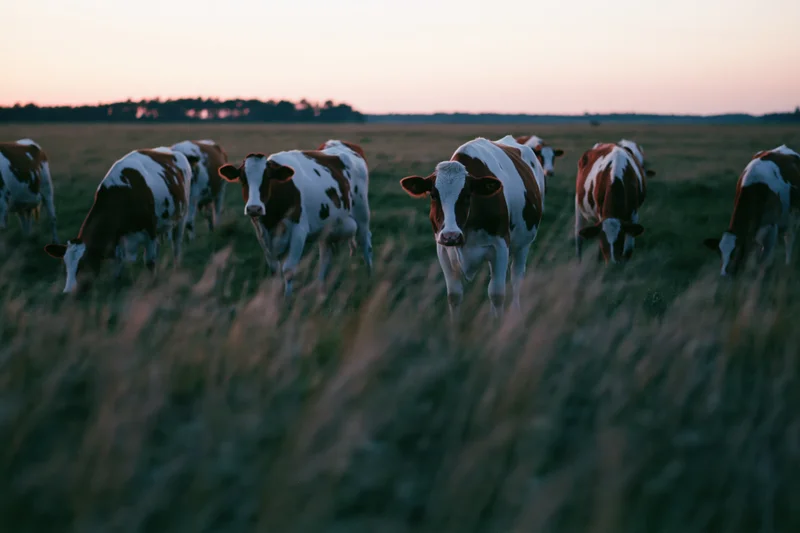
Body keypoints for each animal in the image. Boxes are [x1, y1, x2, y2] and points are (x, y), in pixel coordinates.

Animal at [43, 147, 193, 293]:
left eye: (84, 264)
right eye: (65, 267)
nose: (68, 292)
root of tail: (172, 151)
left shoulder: (149, 231)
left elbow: (150, 262)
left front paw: (153, 285)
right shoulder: (116, 239)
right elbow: (117, 269)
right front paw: (115, 288)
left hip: (182, 216)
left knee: (176, 244)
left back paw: (176, 267)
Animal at [217, 139, 372, 298]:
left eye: (268, 178)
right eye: (242, 179)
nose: (254, 208)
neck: (271, 219)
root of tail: (340, 143)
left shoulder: (299, 231)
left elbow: (288, 270)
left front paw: (287, 299)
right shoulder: (263, 235)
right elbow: (275, 270)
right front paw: (275, 297)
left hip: (362, 215)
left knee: (366, 242)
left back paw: (369, 278)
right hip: (327, 228)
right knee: (325, 256)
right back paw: (320, 290)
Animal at [399, 136, 545, 318]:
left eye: (467, 195)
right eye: (433, 195)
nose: (451, 235)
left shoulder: (500, 246)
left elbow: (497, 294)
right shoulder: (443, 250)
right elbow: (454, 295)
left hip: (523, 245)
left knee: (517, 278)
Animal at [703, 145, 800, 276]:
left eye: (735, 252)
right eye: (720, 253)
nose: (724, 274)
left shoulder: (771, 226)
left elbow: (764, 258)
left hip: (793, 217)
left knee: (789, 238)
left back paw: (787, 264)